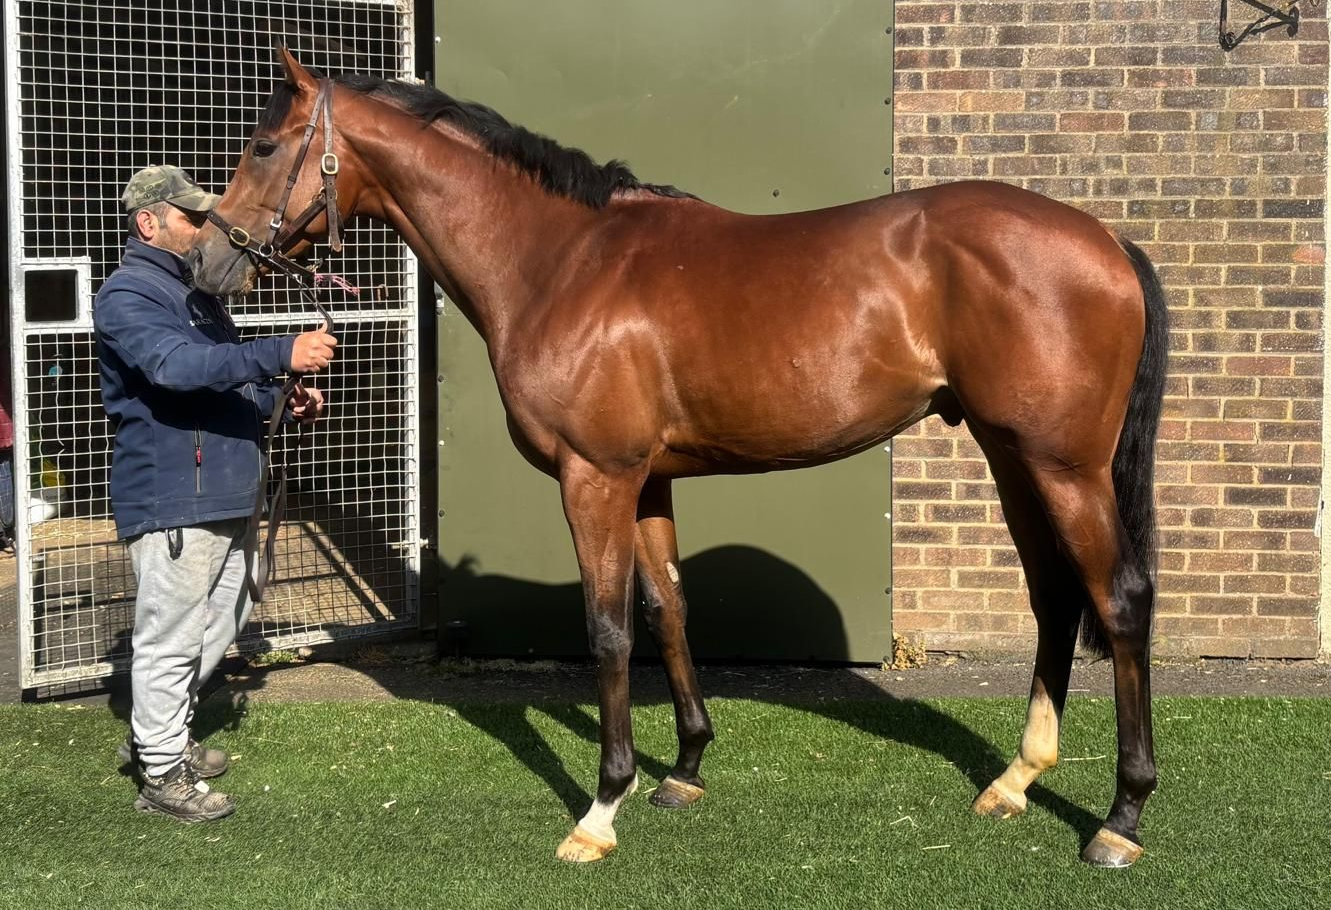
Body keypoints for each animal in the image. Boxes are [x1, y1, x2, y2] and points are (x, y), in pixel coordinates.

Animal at [190, 47, 1169, 869]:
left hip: (1065, 468)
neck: (560, 262)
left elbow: (609, 628)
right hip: (1012, 458)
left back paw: (1120, 819)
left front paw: (600, 809)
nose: (206, 263)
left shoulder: (595, 477)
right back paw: (1014, 781)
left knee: (1118, 601)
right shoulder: (649, 479)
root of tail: (1105, 240)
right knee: (1053, 597)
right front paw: (685, 769)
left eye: (264, 144)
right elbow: (667, 610)